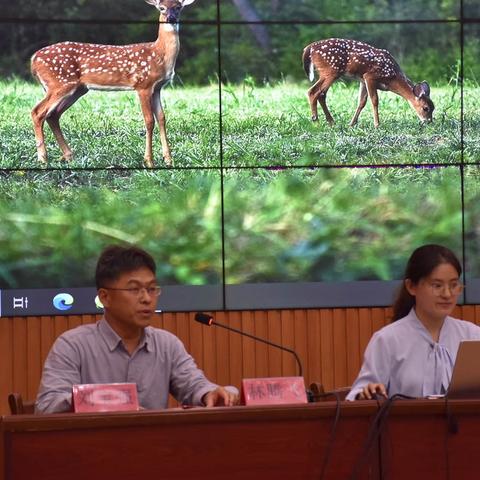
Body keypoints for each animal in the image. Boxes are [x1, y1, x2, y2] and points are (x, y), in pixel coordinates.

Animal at [31, 0, 195, 169]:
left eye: (178, 7)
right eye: (161, 8)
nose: (170, 18)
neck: (160, 55)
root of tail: (33, 59)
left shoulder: (157, 88)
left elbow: (162, 118)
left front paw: (168, 160)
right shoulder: (143, 85)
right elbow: (149, 120)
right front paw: (149, 161)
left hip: (77, 89)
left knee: (53, 115)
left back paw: (68, 156)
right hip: (59, 84)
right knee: (37, 112)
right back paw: (43, 159)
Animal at [302, 38, 434, 127]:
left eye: (433, 107)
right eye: (426, 108)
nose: (429, 122)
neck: (392, 78)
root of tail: (309, 48)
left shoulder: (362, 80)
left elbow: (361, 102)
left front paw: (352, 123)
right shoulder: (370, 76)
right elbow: (374, 100)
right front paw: (377, 124)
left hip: (328, 72)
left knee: (321, 94)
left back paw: (331, 122)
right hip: (330, 70)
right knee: (313, 92)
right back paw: (316, 122)